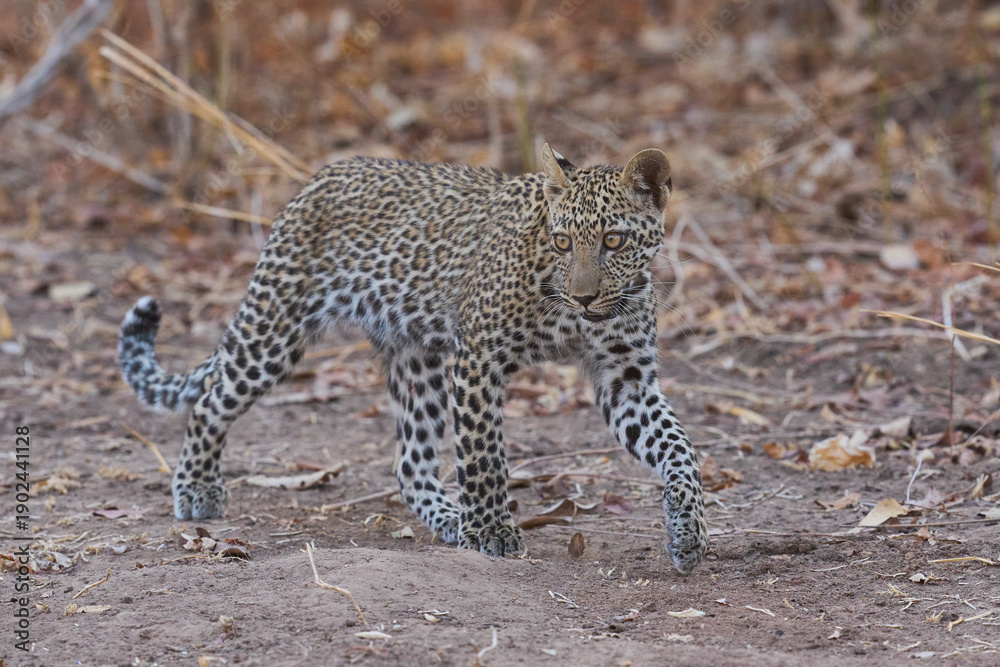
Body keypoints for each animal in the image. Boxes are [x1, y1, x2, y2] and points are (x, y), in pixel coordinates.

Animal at [118, 144, 709, 573]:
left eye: (614, 241)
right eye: (563, 242)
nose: (584, 298)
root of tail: (321, 175)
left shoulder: (625, 378)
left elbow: (681, 451)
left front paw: (688, 532)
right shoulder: (479, 358)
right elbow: (483, 455)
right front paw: (491, 532)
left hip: (414, 354)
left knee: (410, 461)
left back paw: (447, 516)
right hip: (274, 329)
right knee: (211, 400)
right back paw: (196, 488)